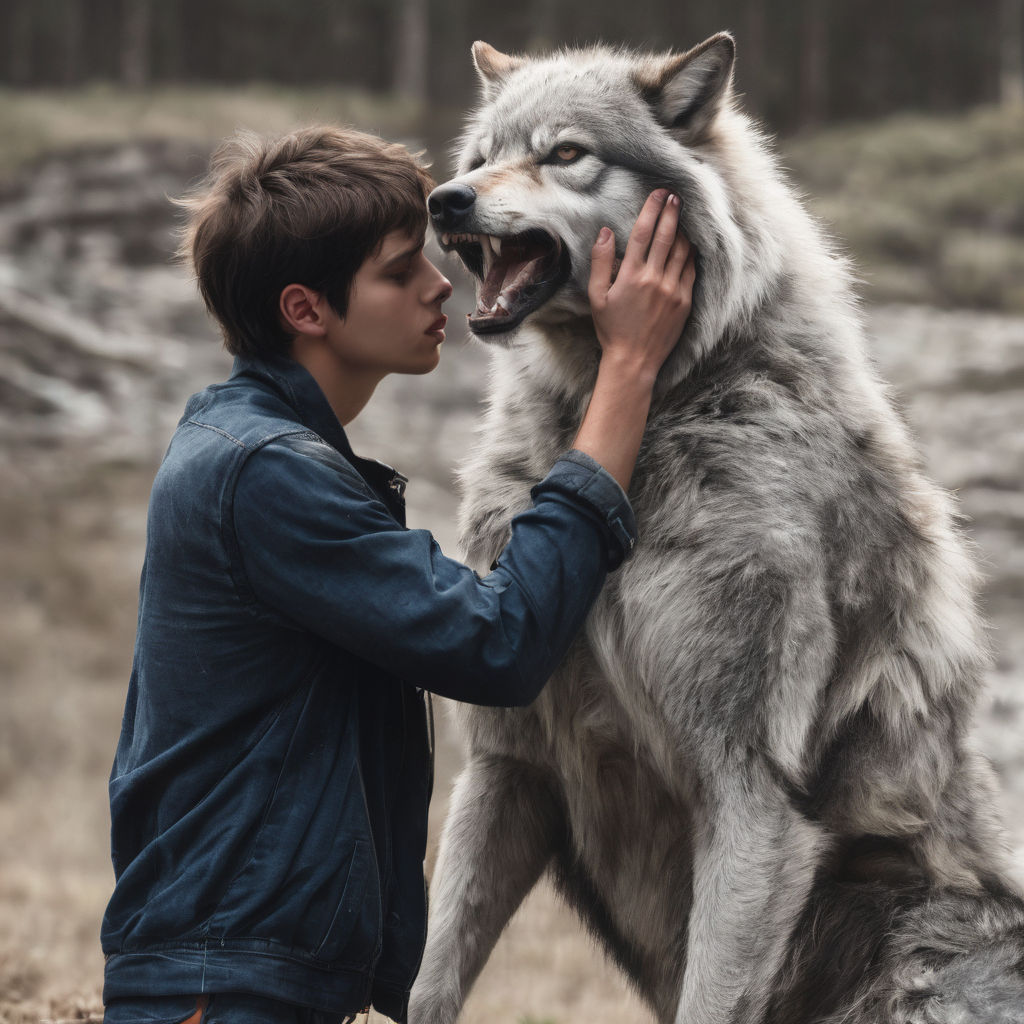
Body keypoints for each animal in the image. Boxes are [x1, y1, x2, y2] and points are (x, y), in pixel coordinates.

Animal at [408, 35, 1024, 1024]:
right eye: (481, 157)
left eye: (565, 153)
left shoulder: (749, 788)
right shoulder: (507, 765)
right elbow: (431, 972)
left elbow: (712, 992)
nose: (444, 200)